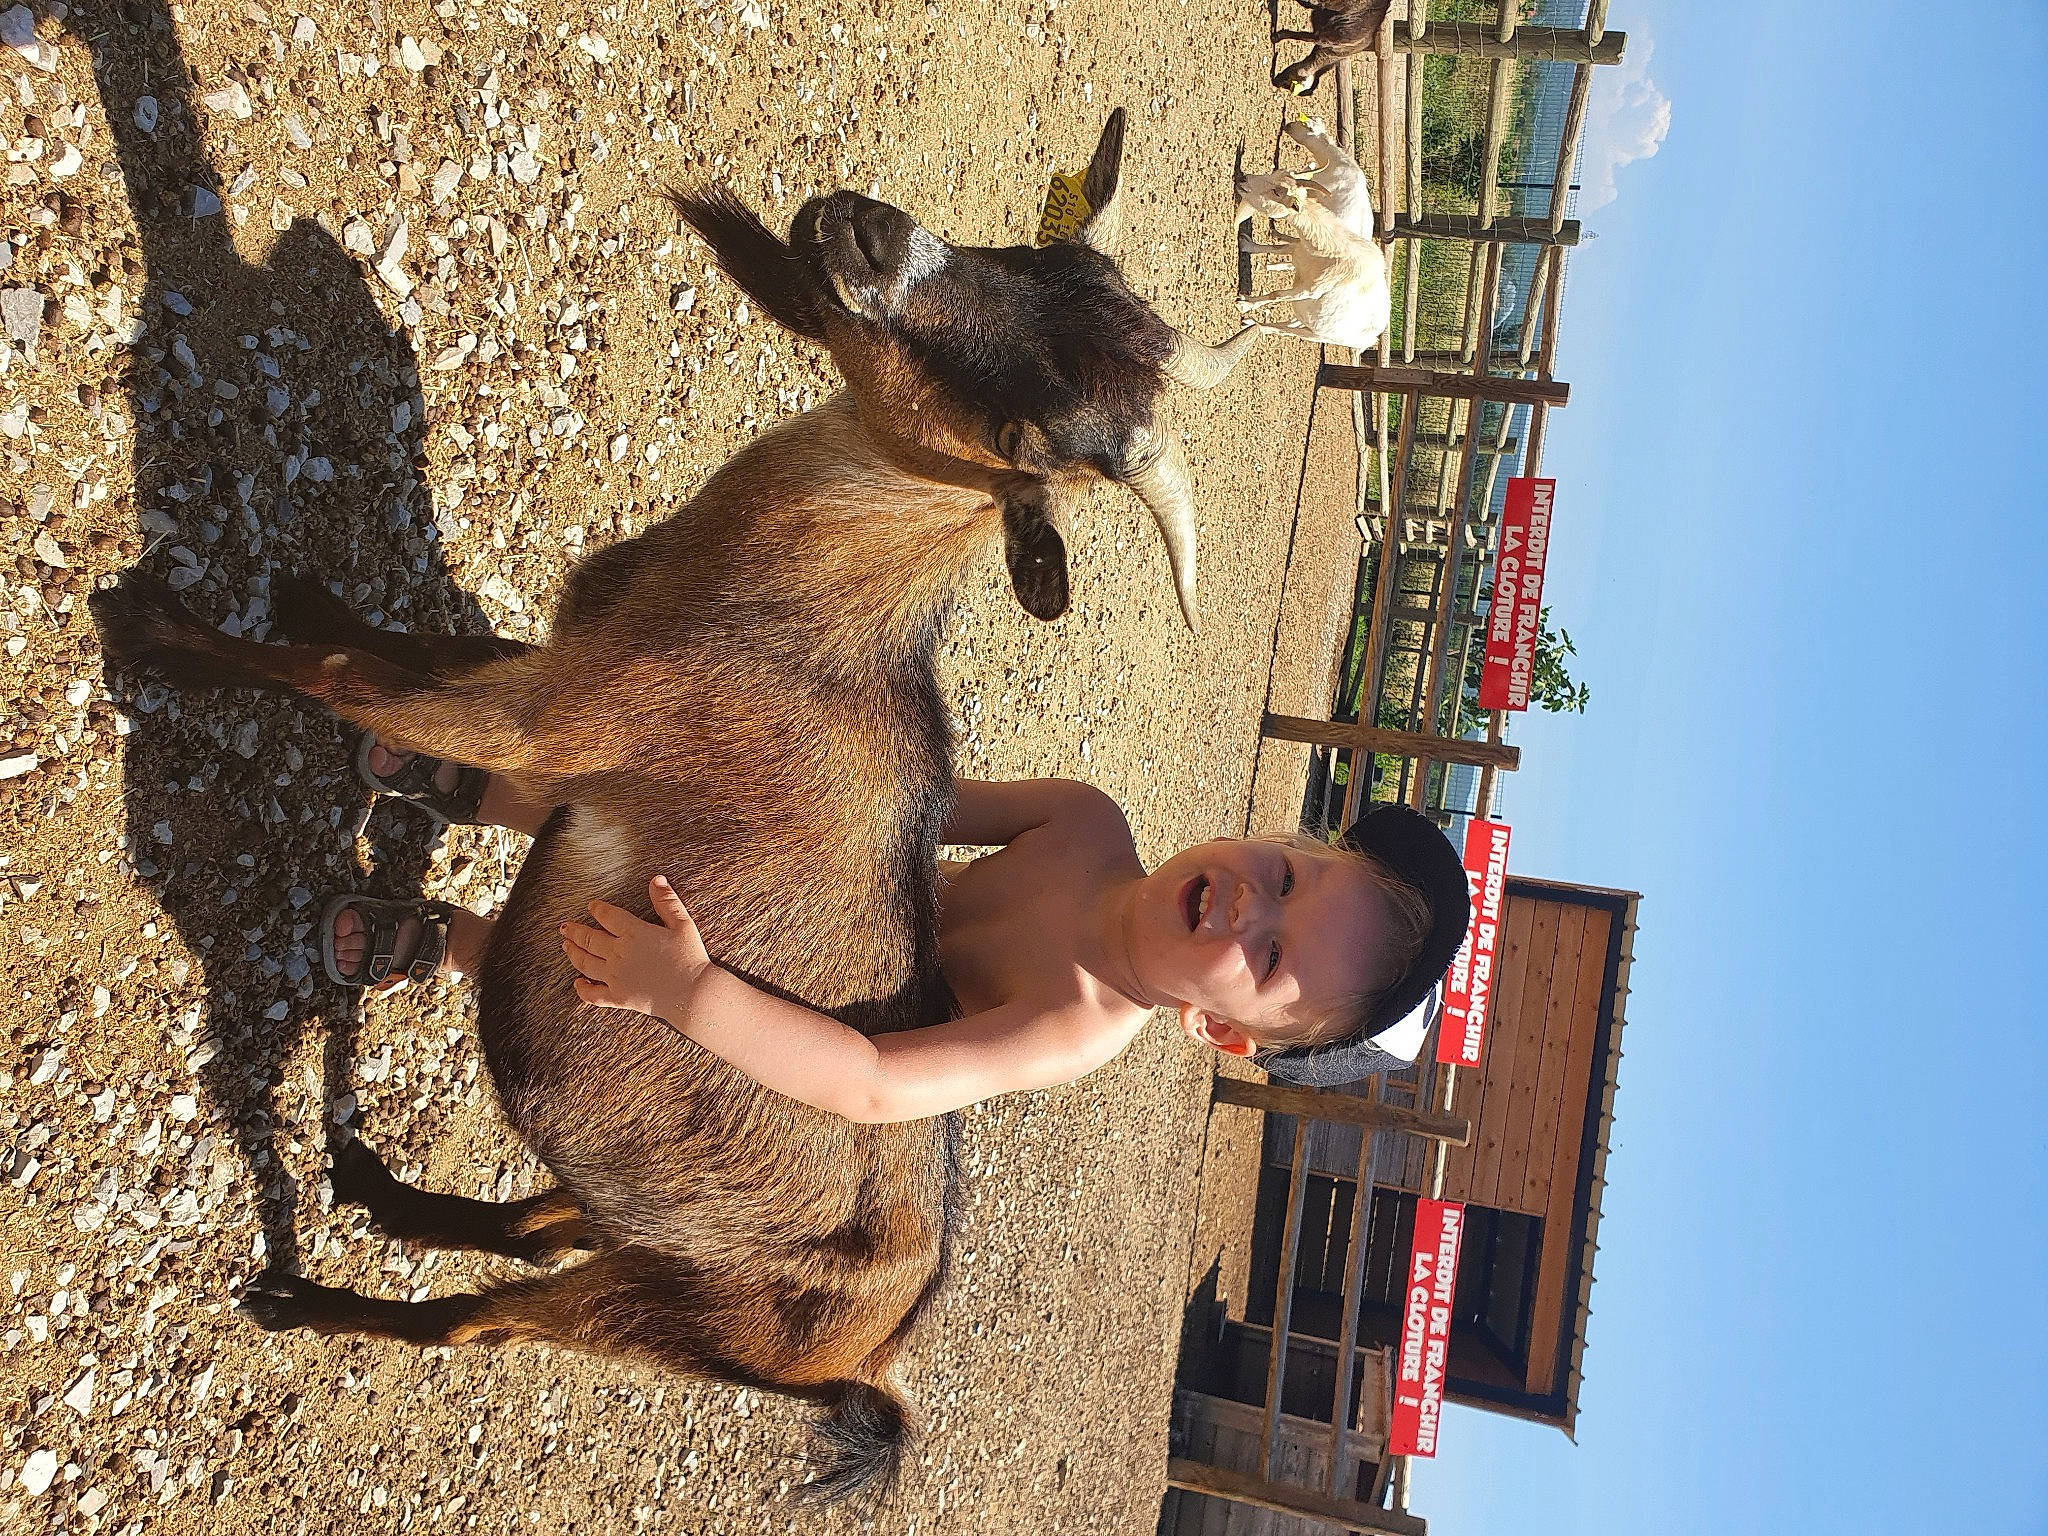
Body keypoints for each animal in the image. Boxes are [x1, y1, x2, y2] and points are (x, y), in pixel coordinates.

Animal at [90, 111, 1258, 1508]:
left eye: (1034, 437)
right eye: (1027, 253)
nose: (864, 229)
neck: (787, 612)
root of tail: (871, 1355)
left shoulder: (549, 720)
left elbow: (337, 678)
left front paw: (155, 629)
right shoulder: (551, 669)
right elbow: (395, 648)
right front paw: (311, 598)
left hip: (659, 1315)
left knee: (482, 1319)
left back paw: (303, 1296)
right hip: (641, 1236)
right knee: (542, 1222)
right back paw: (385, 1193)